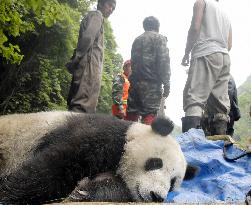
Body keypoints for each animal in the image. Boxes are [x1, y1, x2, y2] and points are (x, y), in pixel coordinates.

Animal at [0, 111, 197, 204]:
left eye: (172, 183)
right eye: (155, 163)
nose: (157, 196)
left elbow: (114, 187)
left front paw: (82, 192)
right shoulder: (98, 136)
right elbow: (54, 167)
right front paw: (7, 195)